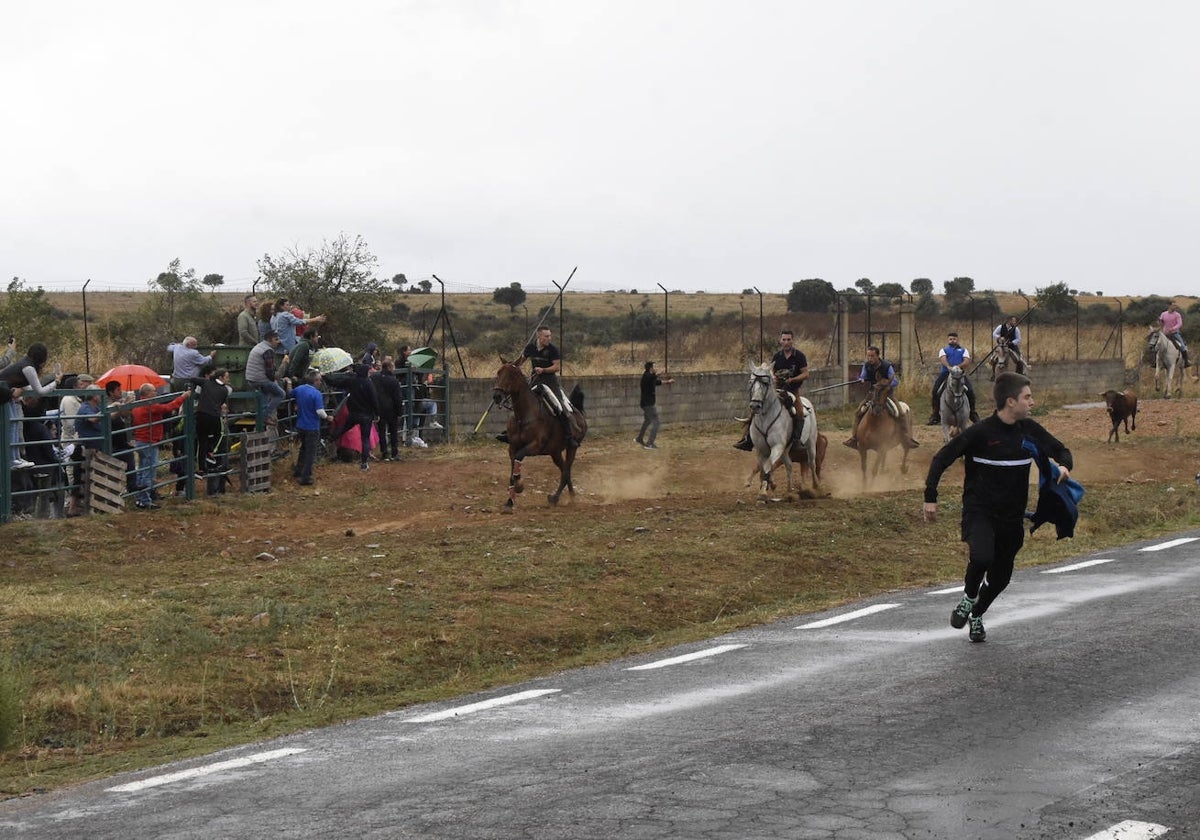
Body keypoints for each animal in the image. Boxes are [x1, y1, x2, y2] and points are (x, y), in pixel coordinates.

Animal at [489, 360, 588, 511]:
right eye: (498, 373)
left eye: (511, 375)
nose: (497, 396)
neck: (524, 416)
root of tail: (578, 413)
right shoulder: (512, 447)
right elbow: (512, 471)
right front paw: (509, 502)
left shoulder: (535, 446)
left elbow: (518, 458)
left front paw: (519, 486)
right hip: (555, 452)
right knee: (565, 470)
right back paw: (572, 496)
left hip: (572, 448)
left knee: (566, 471)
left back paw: (555, 498)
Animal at [744, 360, 820, 499]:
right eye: (751, 381)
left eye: (765, 382)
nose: (755, 405)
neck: (765, 417)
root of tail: (807, 402)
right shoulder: (761, 449)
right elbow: (764, 467)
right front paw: (770, 485)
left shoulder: (777, 446)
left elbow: (768, 465)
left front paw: (763, 492)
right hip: (785, 450)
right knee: (789, 465)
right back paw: (790, 490)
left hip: (811, 443)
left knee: (812, 463)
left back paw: (816, 486)